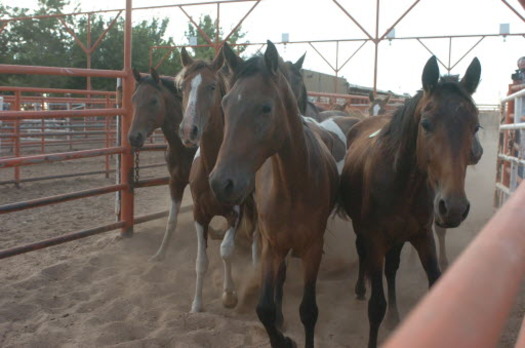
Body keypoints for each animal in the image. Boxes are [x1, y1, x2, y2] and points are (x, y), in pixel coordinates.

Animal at [127, 67, 196, 260]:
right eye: (133, 99)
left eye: (154, 100)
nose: (134, 137)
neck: (185, 147)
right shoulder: (175, 182)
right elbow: (171, 221)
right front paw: (160, 254)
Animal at [176, 45, 258, 312]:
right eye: (183, 86)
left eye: (212, 86)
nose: (188, 130)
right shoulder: (199, 214)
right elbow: (201, 261)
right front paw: (196, 305)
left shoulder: (236, 212)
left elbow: (226, 251)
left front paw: (229, 294)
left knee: (257, 235)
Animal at [207, 41, 338, 348]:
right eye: (225, 104)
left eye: (265, 107)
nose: (220, 183)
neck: (293, 186)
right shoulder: (270, 246)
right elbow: (264, 308)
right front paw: (282, 337)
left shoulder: (313, 248)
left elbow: (309, 311)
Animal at [338, 55, 482, 346]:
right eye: (425, 124)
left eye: (475, 126)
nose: (454, 208)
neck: (401, 182)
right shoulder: (376, 239)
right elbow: (376, 306)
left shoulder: (421, 236)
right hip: (364, 230)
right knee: (362, 253)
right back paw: (360, 287)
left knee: (392, 269)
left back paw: (394, 315)